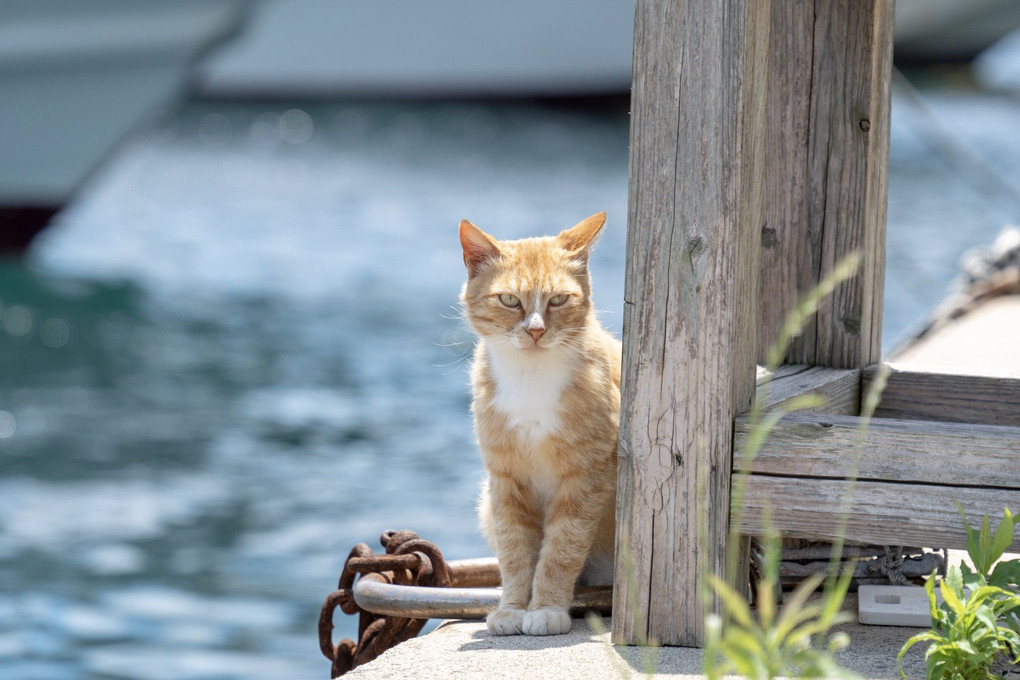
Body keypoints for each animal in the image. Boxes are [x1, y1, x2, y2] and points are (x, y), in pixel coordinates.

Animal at [463, 214, 620, 640]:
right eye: (509, 300)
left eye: (558, 300)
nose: (535, 330)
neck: (530, 377)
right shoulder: (505, 479)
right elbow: (514, 550)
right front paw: (513, 608)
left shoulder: (586, 477)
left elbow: (562, 547)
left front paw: (546, 607)